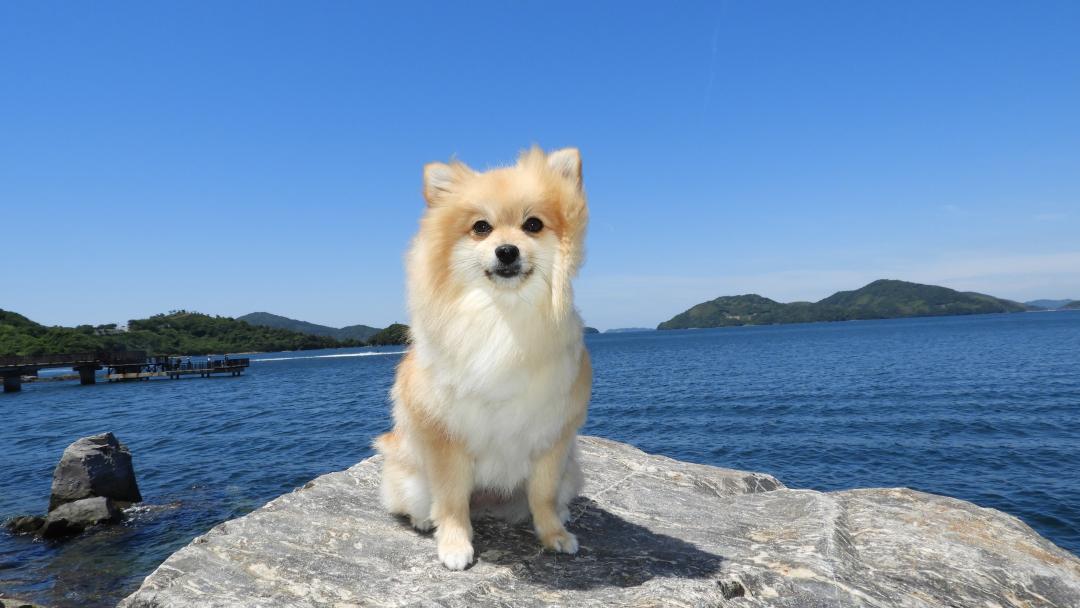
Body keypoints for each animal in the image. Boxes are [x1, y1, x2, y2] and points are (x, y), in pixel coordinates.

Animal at [371, 147, 591, 570]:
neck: (502, 316)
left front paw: (553, 534)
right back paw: (425, 520)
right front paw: (455, 544)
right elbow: (452, 500)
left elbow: (542, 495)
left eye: (533, 225)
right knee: (420, 502)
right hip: (410, 476)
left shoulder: (551, 437)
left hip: (571, 470)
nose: (507, 250)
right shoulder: (447, 437)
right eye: (481, 228)